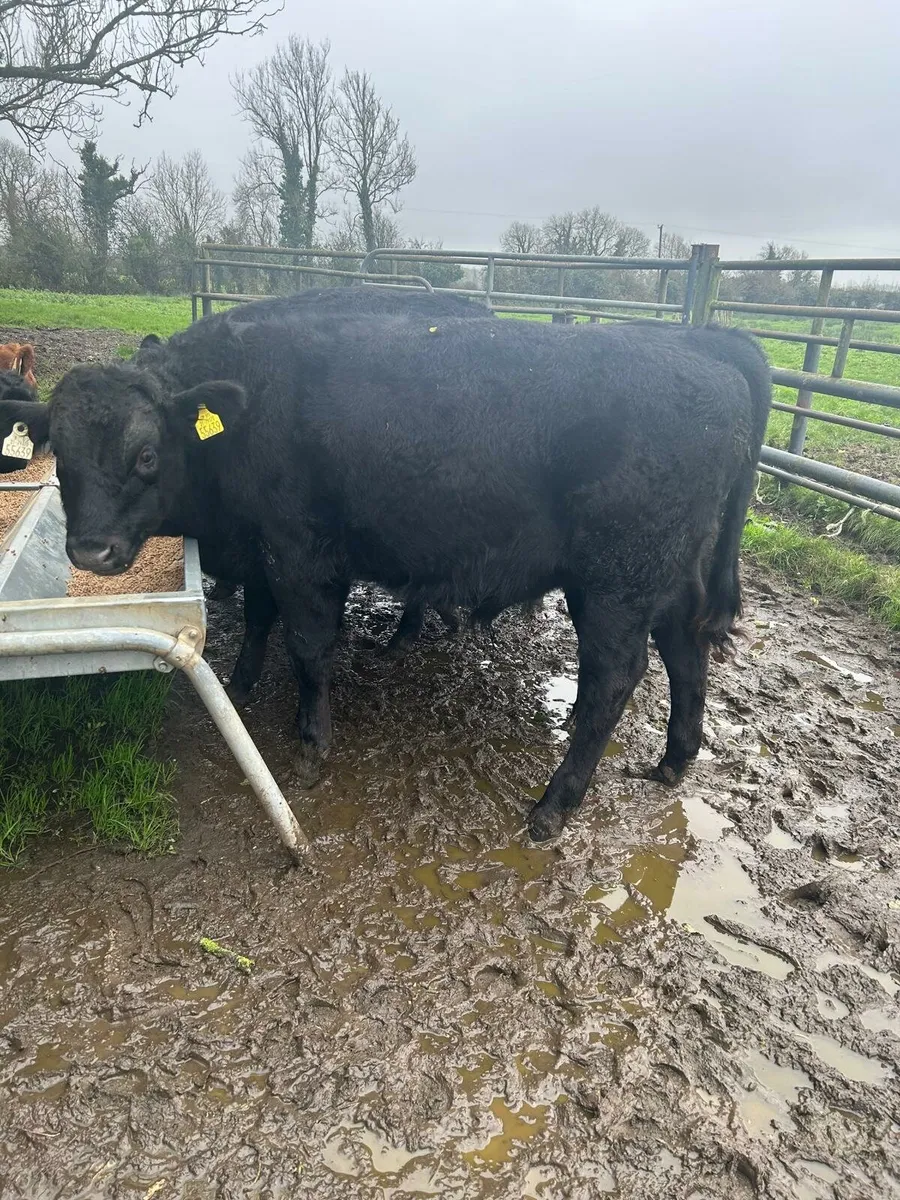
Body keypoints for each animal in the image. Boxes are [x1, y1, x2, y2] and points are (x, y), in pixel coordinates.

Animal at [47, 303, 770, 840]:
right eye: (58, 449)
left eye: (145, 453)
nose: (90, 551)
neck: (249, 404)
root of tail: (708, 347)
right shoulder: (263, 550)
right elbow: (258, 618)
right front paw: (244, 683)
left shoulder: (301, 552)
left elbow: (308, 646)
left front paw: (311, 742)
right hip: (669, 578)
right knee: (685, 652)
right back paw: (674, 759)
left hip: (616, 584)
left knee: (613, 680)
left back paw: (553, 806)